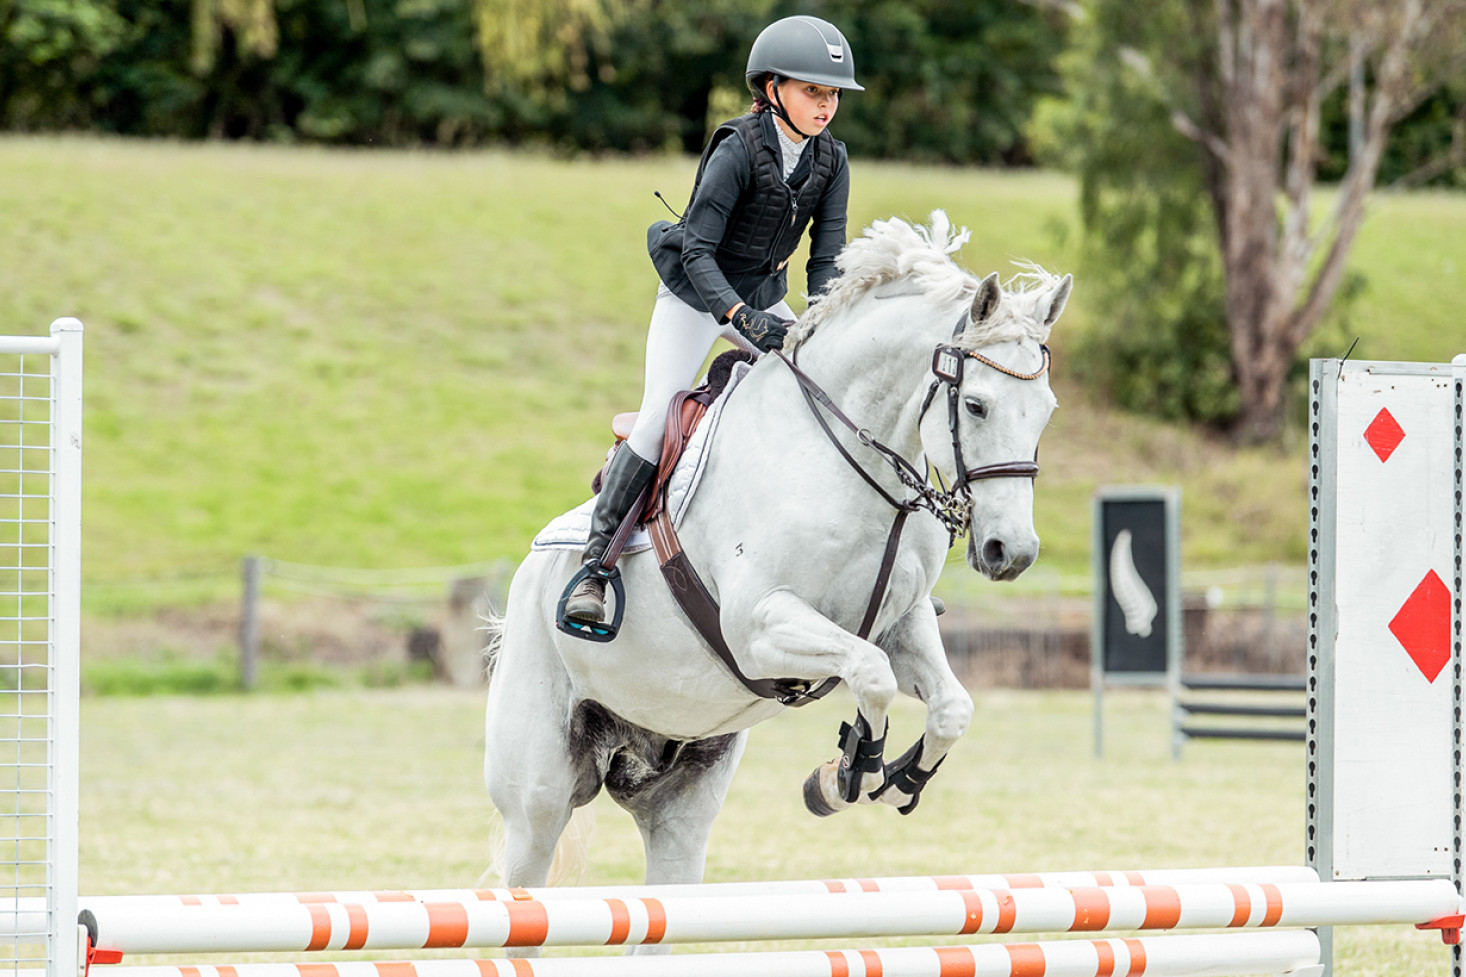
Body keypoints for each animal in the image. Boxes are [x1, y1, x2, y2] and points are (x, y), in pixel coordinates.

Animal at [486, 215, 1073, 903]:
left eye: (1047, 412)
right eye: (976, 405)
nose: (1012, 552)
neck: (852, 456)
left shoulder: (899, 624)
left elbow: (950, 706)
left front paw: (890, 778)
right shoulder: (758, 625)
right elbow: (872, 674)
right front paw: (852, 770)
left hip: (683, 795)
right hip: (538, 795)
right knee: (527, 866)